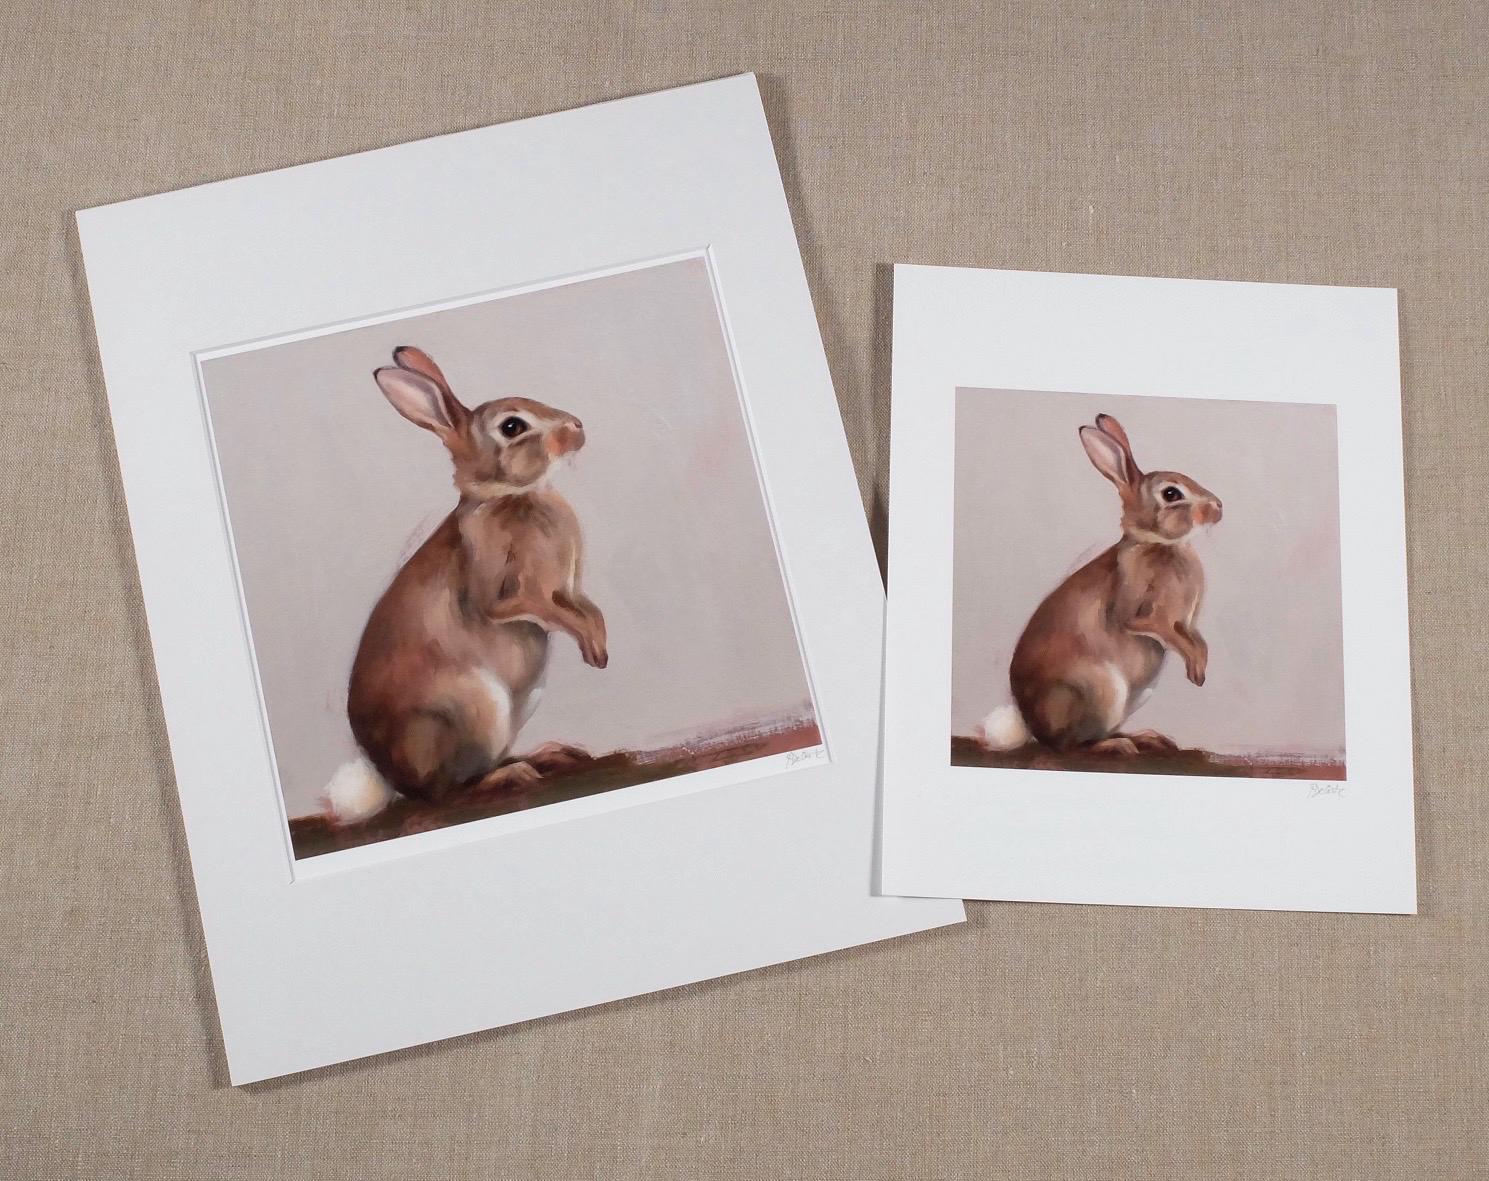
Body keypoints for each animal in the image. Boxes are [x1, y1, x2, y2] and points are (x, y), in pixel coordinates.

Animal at [322, 345, 607, 825]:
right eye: (512, 427)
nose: (577, 427)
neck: (511, 495)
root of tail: (391, 778)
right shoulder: (500, 590)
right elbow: (529, 607)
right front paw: (591, 648)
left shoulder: (568, 590)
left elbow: (587, 609)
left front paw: (600, 651)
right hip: (474, 708)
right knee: (447, 792)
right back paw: (509, 778)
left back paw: (551, 755)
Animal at [977, 413, 1222, 757]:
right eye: (1171, 494)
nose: (1218, 508)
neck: (1159, 544)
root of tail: (1031, 727)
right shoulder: (1136, 607)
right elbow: (1150, 624)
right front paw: (1195, 669)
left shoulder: (1185, 622)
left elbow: (1195, 639)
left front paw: (1199, 670)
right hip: (1100, 689)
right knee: (1070, 745)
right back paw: (1116, 745)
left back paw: (1147, 738)